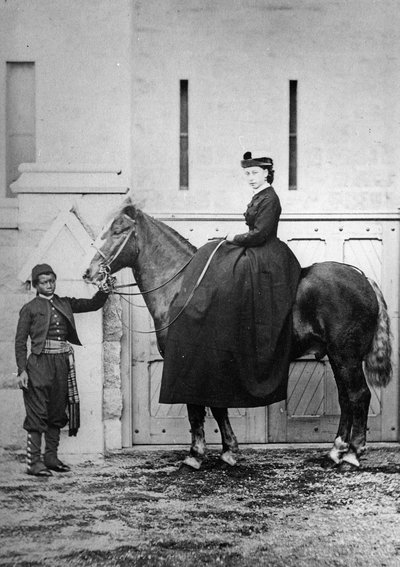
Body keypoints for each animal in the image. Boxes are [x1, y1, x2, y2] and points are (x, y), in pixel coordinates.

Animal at [83, 199, 392, 470]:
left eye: (119, 230)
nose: (90, 272)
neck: (183, 286)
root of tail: (363, 278)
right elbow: (217, 408)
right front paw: (229, 452)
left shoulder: (188, 364)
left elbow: (196, 410)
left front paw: (195, 455)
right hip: (338, 357)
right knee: (346, 398)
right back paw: (336, 450)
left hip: (345, 356)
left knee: (359, 395)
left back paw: (352, 454)